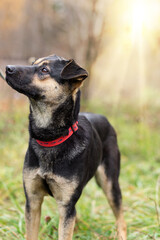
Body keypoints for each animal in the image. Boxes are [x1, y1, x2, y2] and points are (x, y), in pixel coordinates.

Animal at [5, 54, 126, 240]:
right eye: (33, 64)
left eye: (44, 70)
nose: (7, 68)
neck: (51, 139)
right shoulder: (32, 200)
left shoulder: (66, 205)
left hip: (110, 182)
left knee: (120, 215)